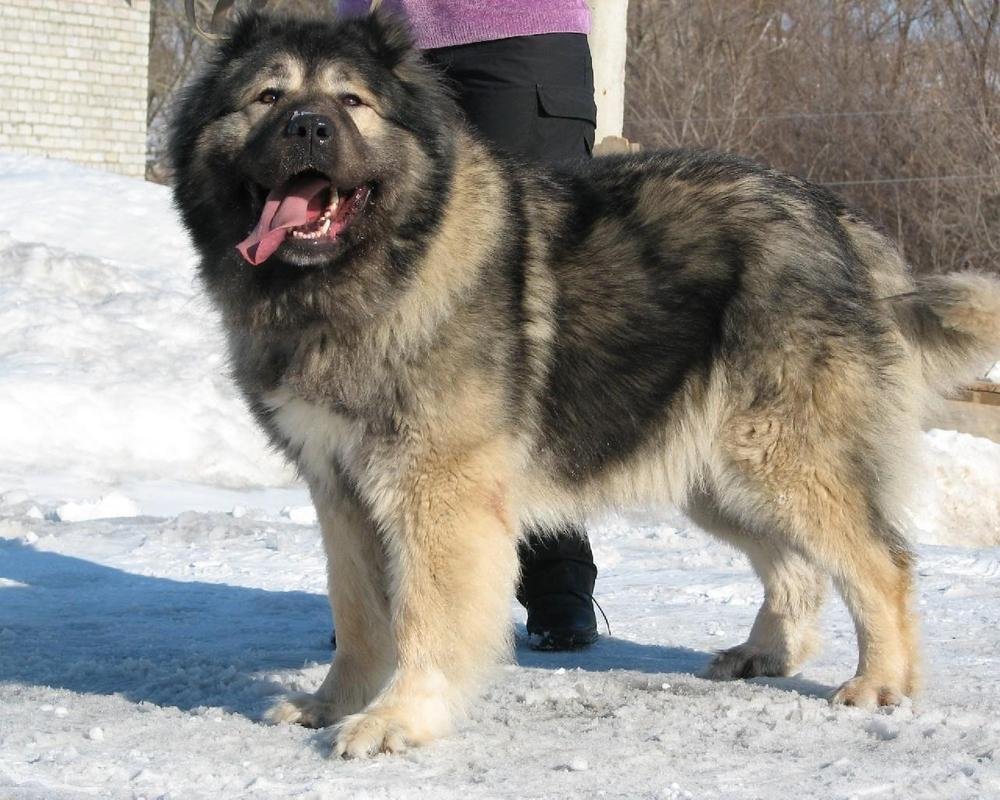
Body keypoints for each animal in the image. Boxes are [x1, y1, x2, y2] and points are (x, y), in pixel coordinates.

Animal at [170, 7, 1000, 756]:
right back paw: (767, 653)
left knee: (880, 562)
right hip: (717, 472)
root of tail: (834, 217)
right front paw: (334, 702)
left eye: (350, 101)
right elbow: (360, 615)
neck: (367, 273)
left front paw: (398, 718)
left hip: (778, 452)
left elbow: (427, 616)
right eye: (267, 98)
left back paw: (880, 682)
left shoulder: (435, 490)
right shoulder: (340, 488)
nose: (307, 129)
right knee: (798, 566)